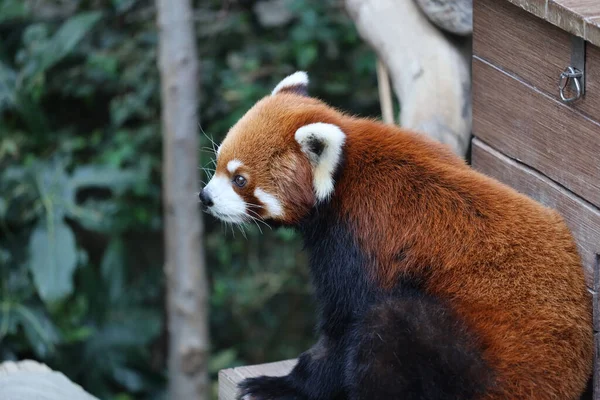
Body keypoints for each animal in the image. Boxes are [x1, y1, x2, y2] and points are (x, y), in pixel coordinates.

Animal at [199, 72, 592, 400]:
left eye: (240, 180)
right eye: (218, 164)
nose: (205, 198)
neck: (342, 177)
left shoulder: (360, 242)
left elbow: (343, 329)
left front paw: (285, 384)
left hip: (475, 364)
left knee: (387, 327)